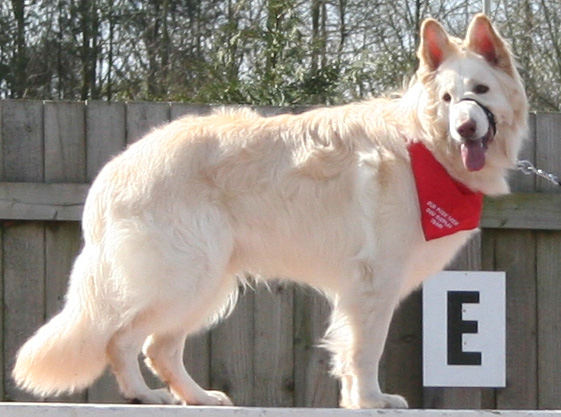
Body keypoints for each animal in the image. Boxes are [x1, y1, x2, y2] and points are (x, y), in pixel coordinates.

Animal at [14, 14, 528, 408]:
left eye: (481, 90)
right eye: (447, 99)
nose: (464, 129)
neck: (422, 144)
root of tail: (114, 170)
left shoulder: (360, 289)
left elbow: (349, 351)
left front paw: (355, 400)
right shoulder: (374, 281)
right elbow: (366, 350)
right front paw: (372, 401)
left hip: (209, 284)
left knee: (160, 347)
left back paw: (197, 398)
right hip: (188, 278)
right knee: (121, 339)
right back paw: (144, 395)